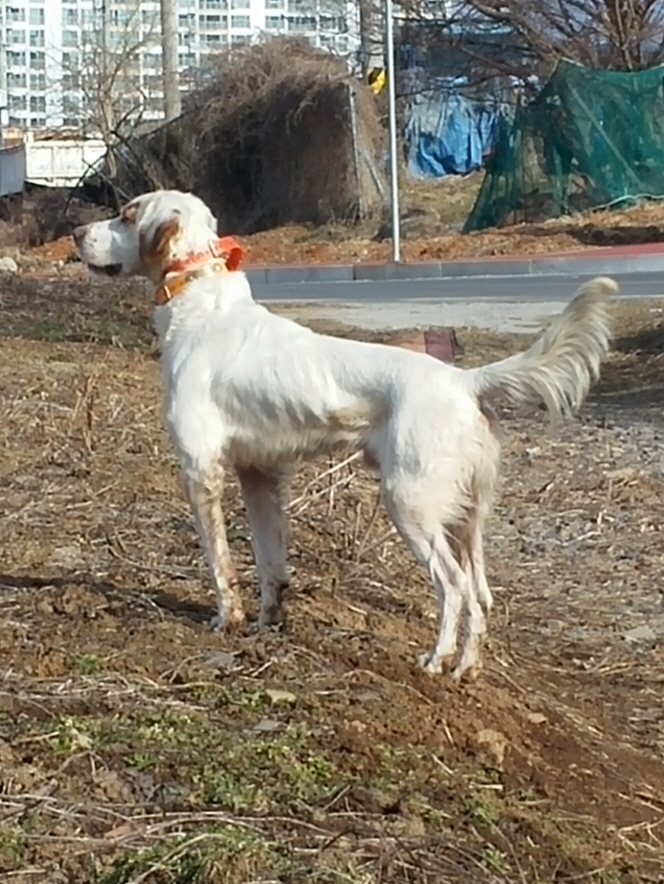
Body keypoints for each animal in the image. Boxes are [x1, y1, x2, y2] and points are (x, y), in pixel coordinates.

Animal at [74, 189, 615, 680]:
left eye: (126, 214)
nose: (76, 233)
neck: (202, 301)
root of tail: (464, 381)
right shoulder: (258, 474)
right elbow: (270, 562)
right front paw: (268, 623)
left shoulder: (200, 467)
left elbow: (219, 561)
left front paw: (226, 620)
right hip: (466, 517)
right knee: (480, 593)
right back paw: (467, 667)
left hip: (410, 503)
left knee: (453, 587)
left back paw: (436, 661)